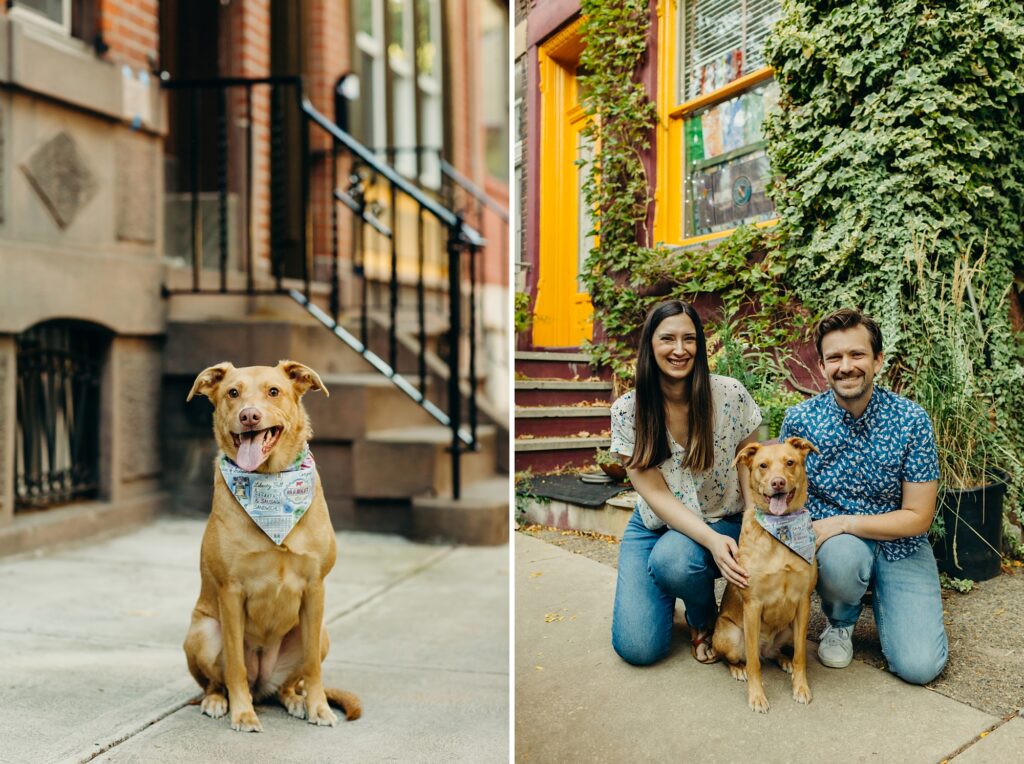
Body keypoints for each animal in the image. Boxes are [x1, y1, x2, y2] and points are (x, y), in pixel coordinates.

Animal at [182, 360, 362, 729]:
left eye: (274, 391)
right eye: (233, 392)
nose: (249, 415)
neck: (270, 484)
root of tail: (261, 683)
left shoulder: (315, 587)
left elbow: (312, 666)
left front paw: (318, 707)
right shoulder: (230, 591)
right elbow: (235, 663)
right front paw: (242, 713)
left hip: (320, 632)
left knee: (289, 683)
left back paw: (295, 700)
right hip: (203, 631)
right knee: (216, 680)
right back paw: (218, 700)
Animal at [708, 438, 819, 712]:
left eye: (790, 462)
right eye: (762, 465)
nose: (777, 482)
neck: (780, 532)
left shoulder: (803, 602)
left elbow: (801, 654)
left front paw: (801, 686)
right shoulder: (753, 605)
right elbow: (754, 665)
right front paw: (757, 696)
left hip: (788, 628)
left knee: (773, 654)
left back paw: (783, 660)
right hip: (731, 634)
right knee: (742, 657)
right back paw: (738, 669)